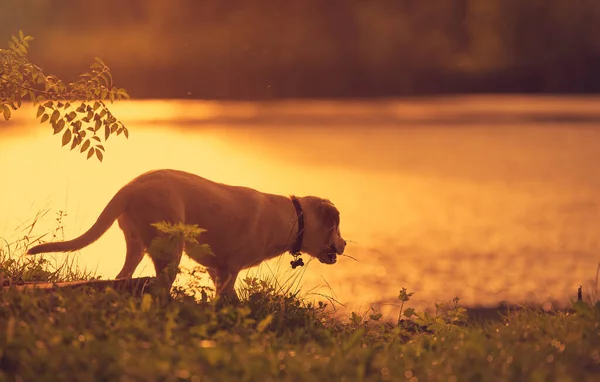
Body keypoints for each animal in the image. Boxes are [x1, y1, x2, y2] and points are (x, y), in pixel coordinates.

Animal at [27, 170, 346, 302]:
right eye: (338, 226)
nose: (344, 244)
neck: (293, 218)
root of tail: (129, 187)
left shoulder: (217, 269)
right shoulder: (230, 269)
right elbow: (227, 298)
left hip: (137, 244)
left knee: (122, 278)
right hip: (171, 249)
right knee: (158, 286)